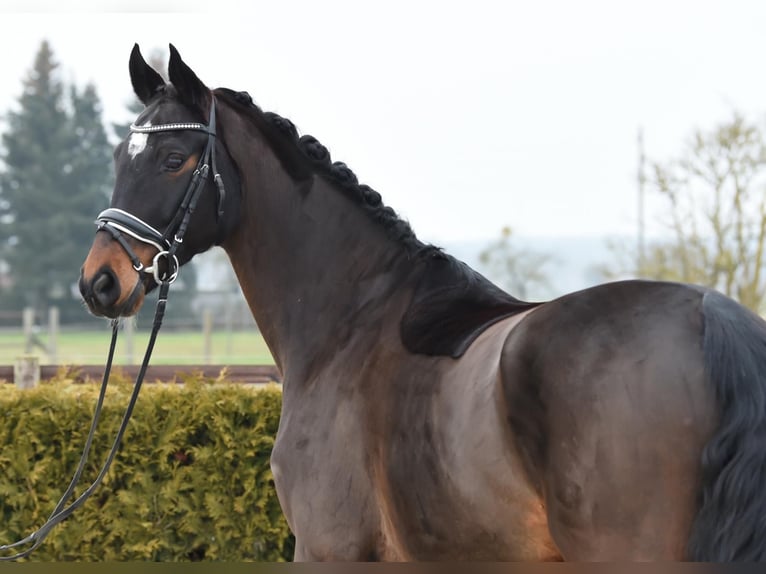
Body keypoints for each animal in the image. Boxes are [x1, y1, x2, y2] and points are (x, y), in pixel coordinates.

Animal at [78, 46, 766, 564]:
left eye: (174, 159)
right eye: (114, 157)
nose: (100, 282)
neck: (351, 323)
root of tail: (712, 318)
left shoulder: (328, 549)